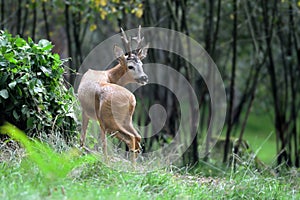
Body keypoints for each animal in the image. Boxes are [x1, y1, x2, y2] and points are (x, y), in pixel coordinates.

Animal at [77, 25, 148, 163]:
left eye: (141, 64)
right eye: (130, 66)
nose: (144, 78)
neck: (109, 76)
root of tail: (131, 100)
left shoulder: (86, 112)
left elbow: (85, 138)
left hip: (108, 119)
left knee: (129, 139)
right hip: (126, 120)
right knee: (137, 137)